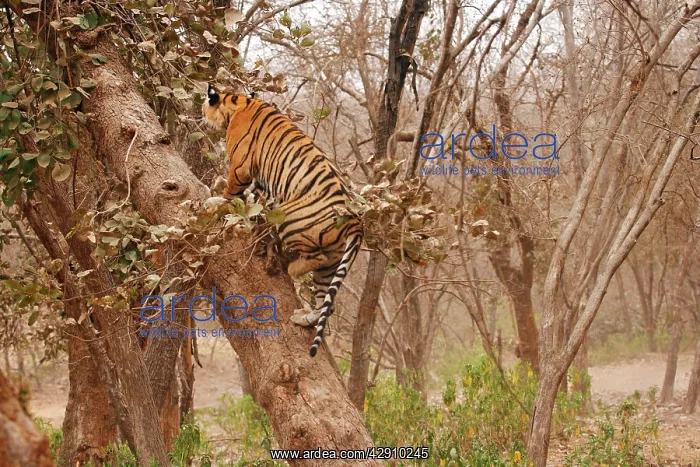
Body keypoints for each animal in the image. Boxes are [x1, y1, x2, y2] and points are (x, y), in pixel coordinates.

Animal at [202, 85, 363, 357]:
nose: (202, 113)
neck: (238, 103)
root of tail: (356, 223)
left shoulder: (241, 168)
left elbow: (230, 196)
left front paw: (217, 203)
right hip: (332, 263)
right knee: (325, 302)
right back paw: (303, 318)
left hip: (291, 219)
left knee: (314, 259)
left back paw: (291, 269)